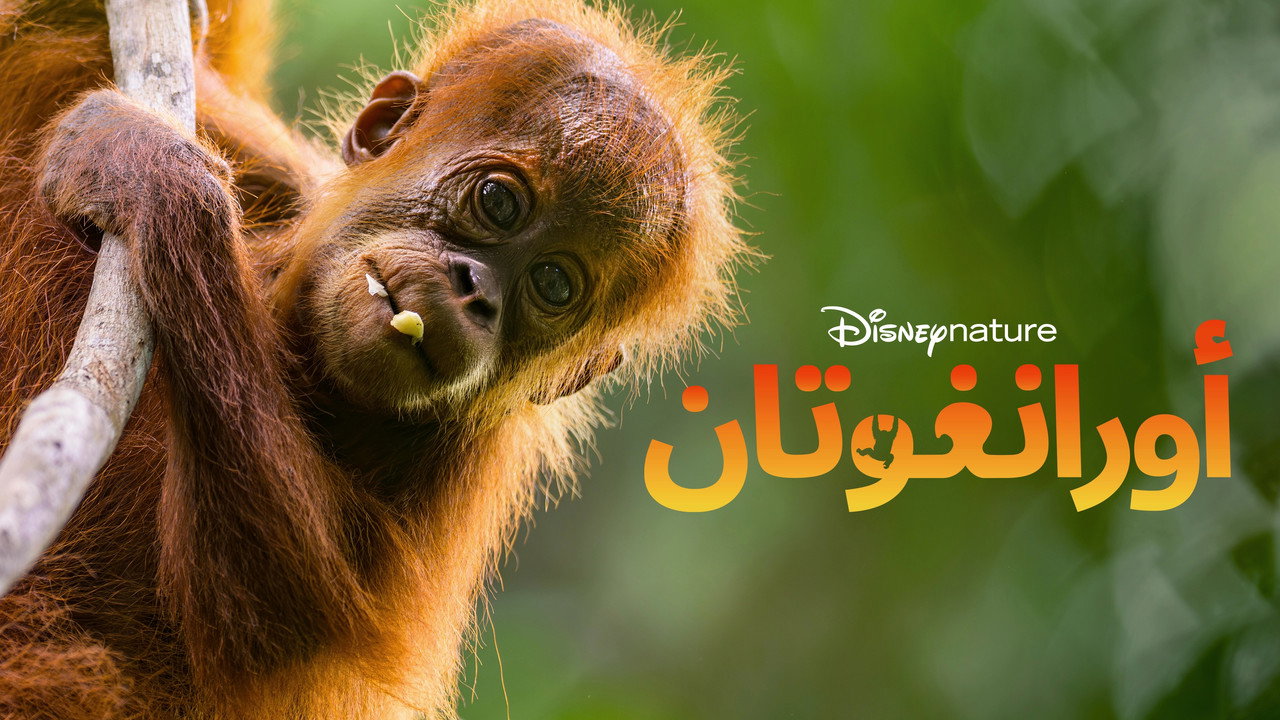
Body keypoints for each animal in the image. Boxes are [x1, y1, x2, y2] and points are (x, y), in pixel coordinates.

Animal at [0, 0, 750, 718]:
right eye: (499, 201)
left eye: (554, 285)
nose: (476, 292)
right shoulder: (279, 177)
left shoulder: (456, 473)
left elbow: (271, 615)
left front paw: (152, 177)